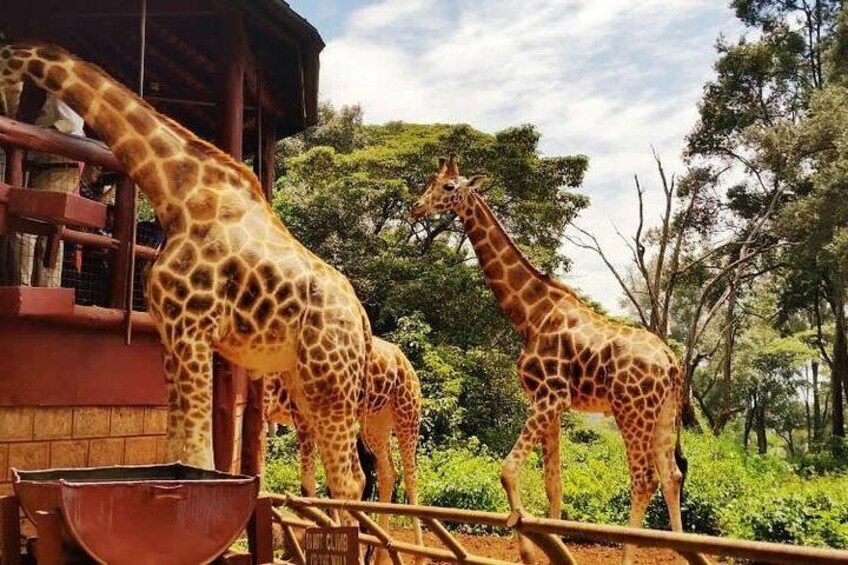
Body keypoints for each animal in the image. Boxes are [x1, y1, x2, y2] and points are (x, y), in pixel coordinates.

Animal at [0, 41, 372, 502]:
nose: (8, 109)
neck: (177, 194)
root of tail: (361, 320)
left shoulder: (193, 329)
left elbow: (198, 456)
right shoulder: (171, 332)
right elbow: (175, 448)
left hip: (329, 378)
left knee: (349, 477)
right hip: (304, 378)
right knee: (346, 472)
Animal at [264, 338, 424, 560]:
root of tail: (405, 361)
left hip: (407, 411)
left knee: (409, 477)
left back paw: (419, 554)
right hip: (376, 423)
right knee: (388, 473)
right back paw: (381, 555)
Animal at [410, 154, 688, 564]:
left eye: (448, 187)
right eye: (430, 182)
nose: (416, 207)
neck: (530, 314)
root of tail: (671, 363)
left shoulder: (548, 396)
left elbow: (508, 469)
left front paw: (527, 548)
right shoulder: (552, 404)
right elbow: (553, 482)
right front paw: (556, 543)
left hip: (631, 410)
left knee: (644, 479)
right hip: (664, 412)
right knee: (672, 476)